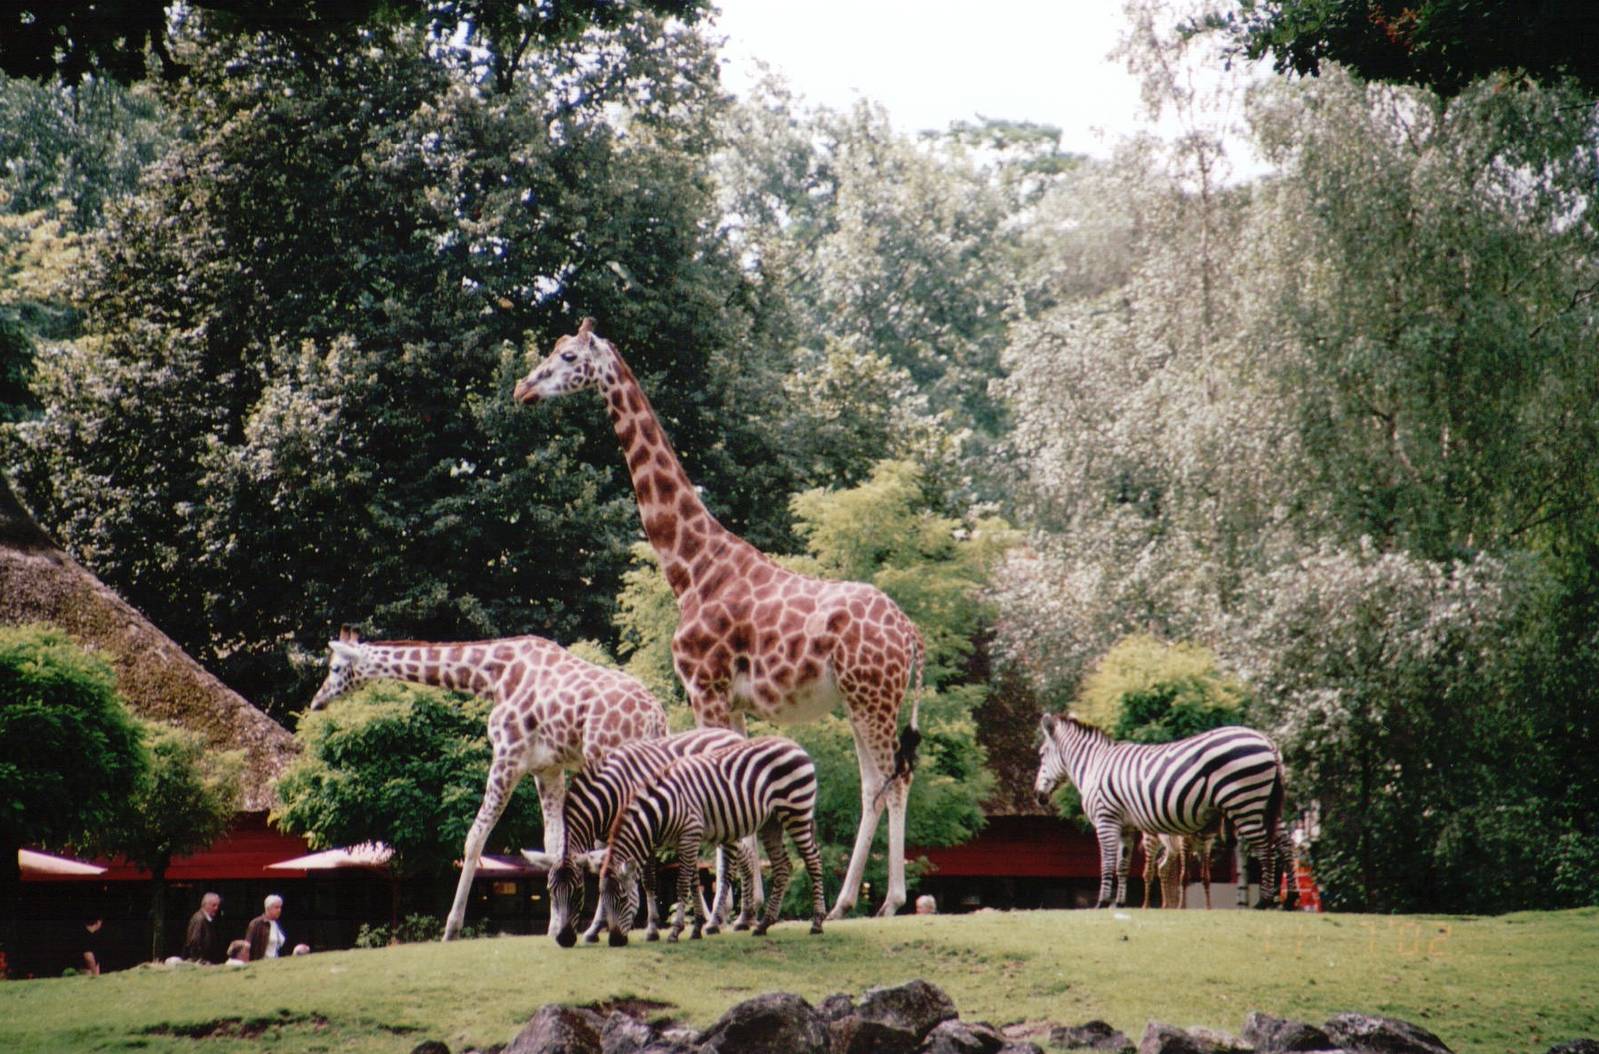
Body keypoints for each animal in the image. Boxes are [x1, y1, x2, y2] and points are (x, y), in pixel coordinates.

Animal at [308, 626, 667, 940]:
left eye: (336, 667)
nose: (316, 702)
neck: (492, 674)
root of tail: (656, 717)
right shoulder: (547, 768)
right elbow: (553, 844)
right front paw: (555, 925)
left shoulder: (508, 756)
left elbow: (475, 838)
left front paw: (451, 929)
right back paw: (651, 926)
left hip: (607, 758)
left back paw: (608, 927)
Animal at [512, 319, 926, 918]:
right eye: (551, 350)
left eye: (567, 357)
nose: (522, 388)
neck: (691, 565)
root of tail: (912, 634)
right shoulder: (731, 701)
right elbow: (736, 791)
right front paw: (741, 907)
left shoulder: (704, 688)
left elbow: (715, 788)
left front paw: (726, 912)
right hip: (861, 700)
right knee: (880, 779)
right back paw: (850, 901)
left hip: (873, 697)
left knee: (892, 780)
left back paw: (882, 902)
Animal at [520, 727, 756, 946]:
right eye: (550, 891)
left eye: (578, 891)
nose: (564, 939)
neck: (609, 796)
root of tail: (732, 734)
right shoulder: (606, 840)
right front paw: (595, 930)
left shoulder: (643, 830)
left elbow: (648, 880)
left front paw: (651, 929)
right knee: (746, 857)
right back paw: (743, 918)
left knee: (731, 865)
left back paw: (721, 921)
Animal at [598, 736, 828, 945]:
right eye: (603, 899)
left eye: (623, 898)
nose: (614, 941)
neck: (664, 807)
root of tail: (794, 744)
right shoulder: (684, 840)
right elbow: (694, 882)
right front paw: (696, 929)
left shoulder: (690, 832)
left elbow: (683, 884)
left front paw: (676, 931)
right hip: (772, 821)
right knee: (782, 867)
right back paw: (764, 925)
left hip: (796, 811)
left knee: (813, 860)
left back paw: (817, 922)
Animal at [1034, 712, 1296, 910]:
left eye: (1041, 754)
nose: (1038, 796)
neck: (1095, 765)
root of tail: (1267, 741)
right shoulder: (1126, 825)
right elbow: (1122, 864)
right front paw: (1119, 903)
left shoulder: (1105, 818)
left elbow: (1107, 862)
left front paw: (1102, 902)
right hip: (1265, 804)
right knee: (1284, 843)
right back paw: (1289, 898)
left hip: (1245, 803)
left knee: (1265, 848)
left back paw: (1264, 901)